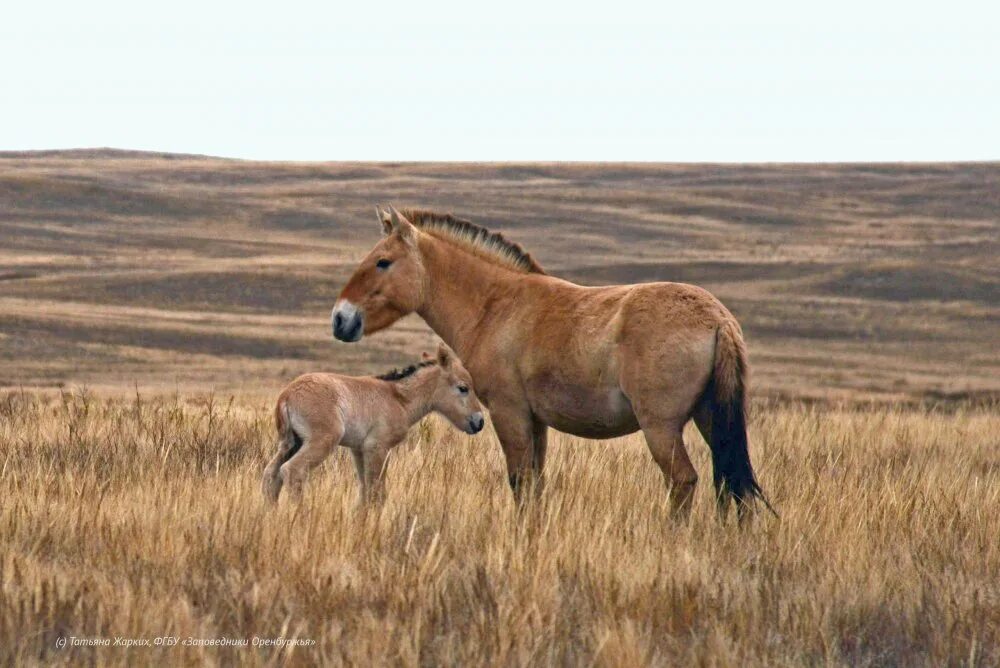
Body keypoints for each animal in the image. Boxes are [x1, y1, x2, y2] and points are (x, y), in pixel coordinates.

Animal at [262, 342, 484, 504]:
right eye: (463, 388)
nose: (479, 421)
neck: (398, 399)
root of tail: (287, 395)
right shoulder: (377, 448)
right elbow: (377, 493)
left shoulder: (360, 450)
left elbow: (365, 491)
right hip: (320, 442)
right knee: (292, 471)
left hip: (290, 444)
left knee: (271, 475)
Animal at [328, 206, 772, 520]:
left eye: (383, 261)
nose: (340, 319)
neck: (494, 305)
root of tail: (717, 319)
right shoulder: (535, 422)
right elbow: (536, 486)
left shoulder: (509, 414)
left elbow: (520, 483)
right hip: (710, 418)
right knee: (731, 484)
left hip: (660, 428)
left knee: (683, 482)